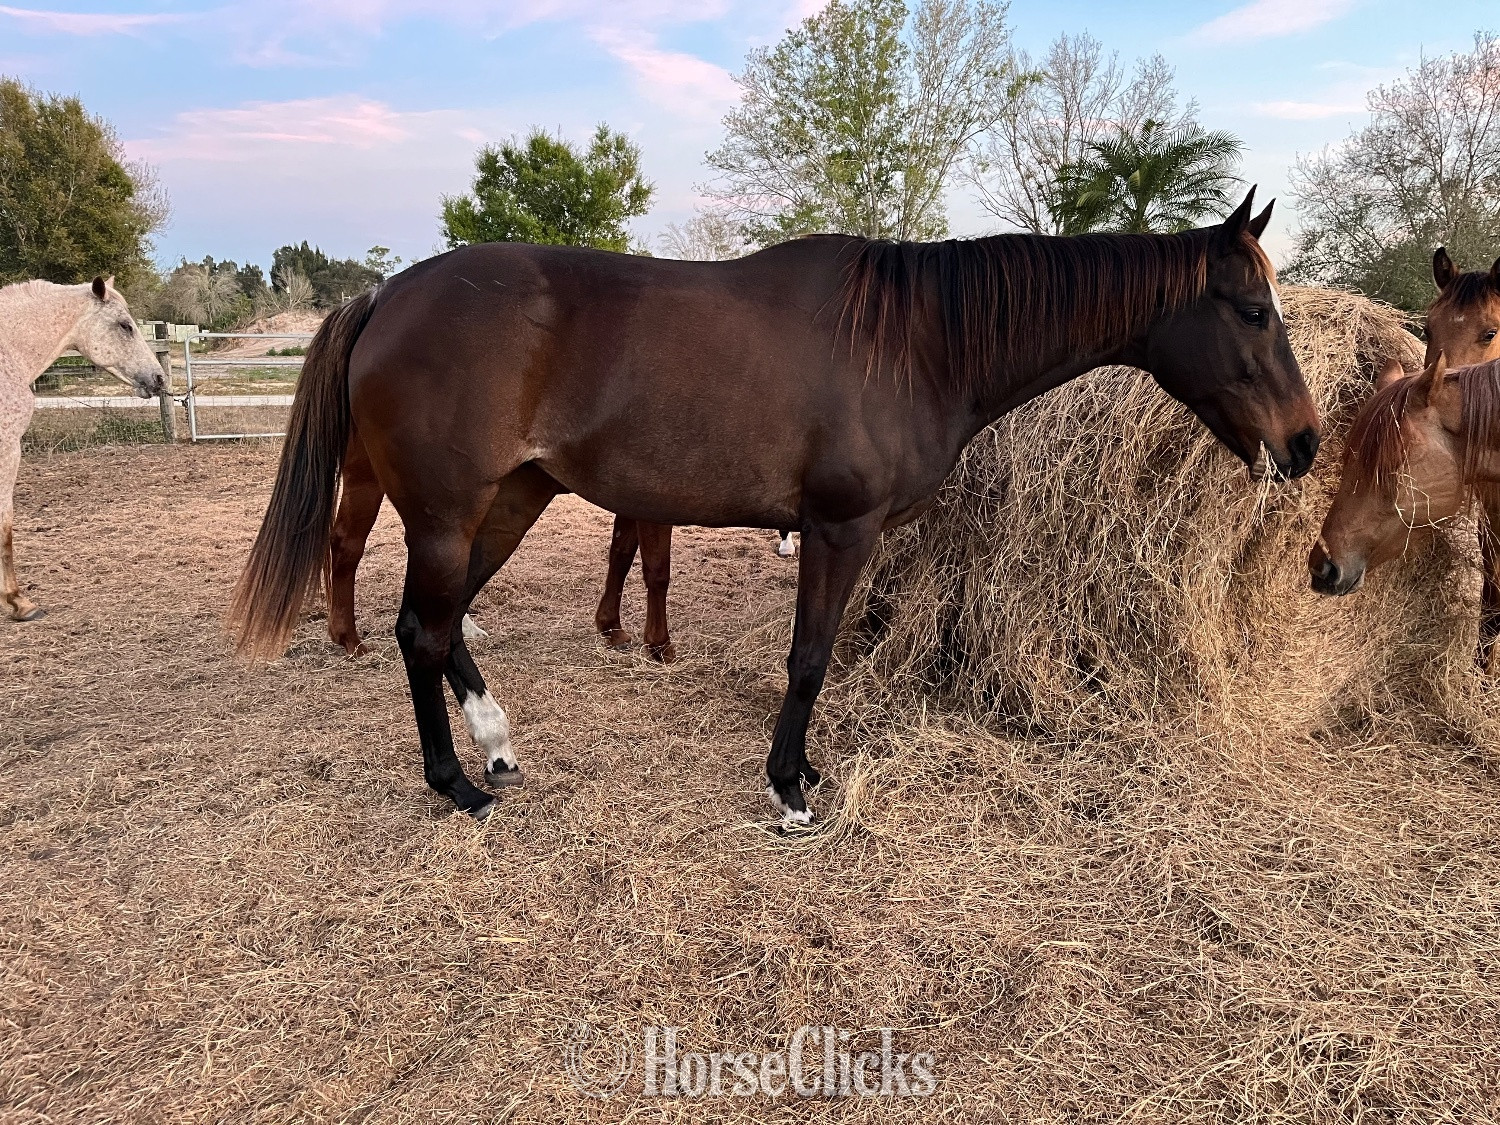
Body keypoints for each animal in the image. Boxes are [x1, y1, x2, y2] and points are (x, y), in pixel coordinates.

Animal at [0, 276, 165, 621]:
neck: (9, 352)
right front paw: (19, 602)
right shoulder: (8, 448)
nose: (159, 377)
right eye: (125, 325)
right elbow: (5, 522)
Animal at [231, 189, 1319, 824]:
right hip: (450, 513)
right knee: (421, 630)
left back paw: (495, 749)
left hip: (508, 502)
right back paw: (454, 782)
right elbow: (809, 658)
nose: (1307, 442)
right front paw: (791, 784)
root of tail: (386, 294)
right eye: (1253, 312)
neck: (916, 340)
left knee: (446, 623)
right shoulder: (840, 529)